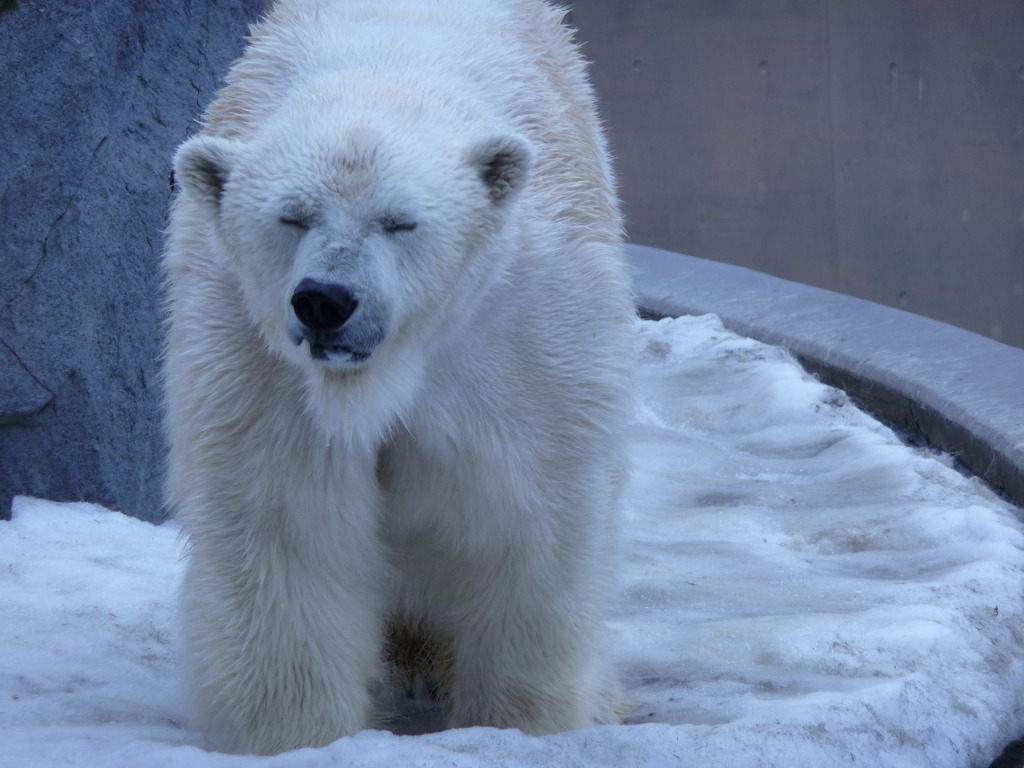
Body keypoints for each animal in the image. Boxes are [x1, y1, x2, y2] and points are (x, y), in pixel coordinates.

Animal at [161, 0, 630, 757]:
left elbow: (525, 518)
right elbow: (288, 526)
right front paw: (297, 739)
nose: (326, 300)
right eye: (292, 215)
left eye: (400, 221)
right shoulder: (252, 358)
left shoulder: (522, 336)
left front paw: (521, 726)